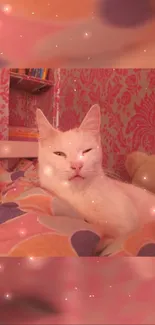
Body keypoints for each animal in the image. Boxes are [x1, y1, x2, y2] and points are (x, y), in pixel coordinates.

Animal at [36, 104, 155, 253]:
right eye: (59, 154)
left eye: (87, 151)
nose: (77, 165)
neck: (80, 195)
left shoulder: (129, 224)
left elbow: (120, 235)